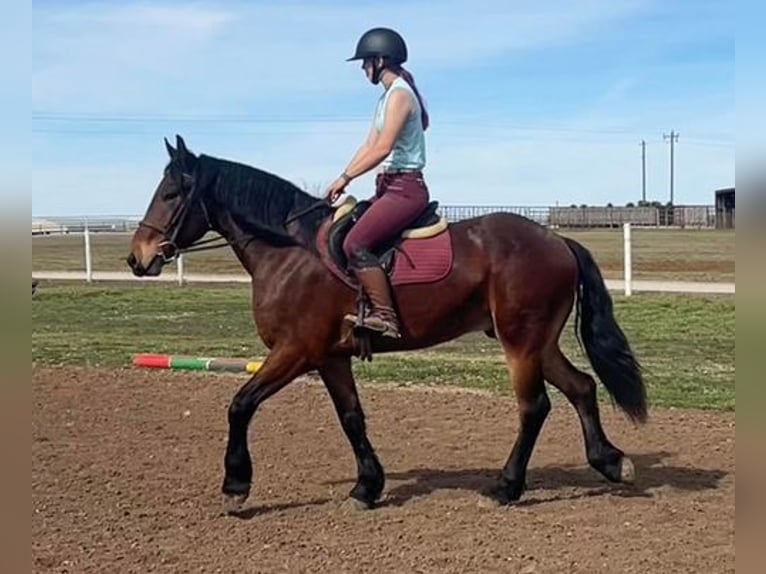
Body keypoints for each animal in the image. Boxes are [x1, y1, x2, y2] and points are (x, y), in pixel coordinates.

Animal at [126, 137, 648, 516]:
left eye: (170, 194)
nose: (138, 258)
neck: (290, 253)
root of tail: (557, 240)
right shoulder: (330, 358)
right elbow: (351, 418)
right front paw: (367, 486)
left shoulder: (295, 351)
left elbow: (240, 405)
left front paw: (236, 484)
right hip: (537, 341)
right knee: (581, 387)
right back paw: (609, 461)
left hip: (520, 341)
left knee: (534, 405)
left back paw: (507, 486)